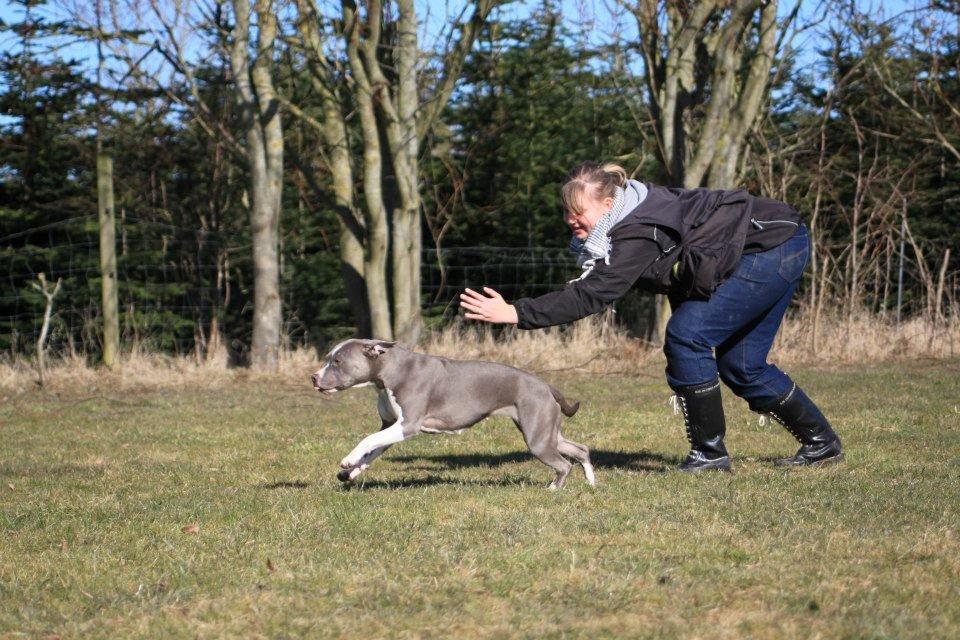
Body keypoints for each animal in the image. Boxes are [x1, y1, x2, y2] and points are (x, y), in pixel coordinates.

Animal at [312, 340, 592, 490]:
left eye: (337, 361)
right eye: (328, 358)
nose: (313, 377)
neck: (388, 371)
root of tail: (546, 386)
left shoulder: (407, 425)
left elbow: (367, 440)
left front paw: (348, 461)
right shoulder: (390, 426)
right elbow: (371, 451)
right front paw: (351, 472)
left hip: (537, 439)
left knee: (564, 464)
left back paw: (553, 489)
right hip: (546, 432)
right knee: (581, 450)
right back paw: (591, 482)